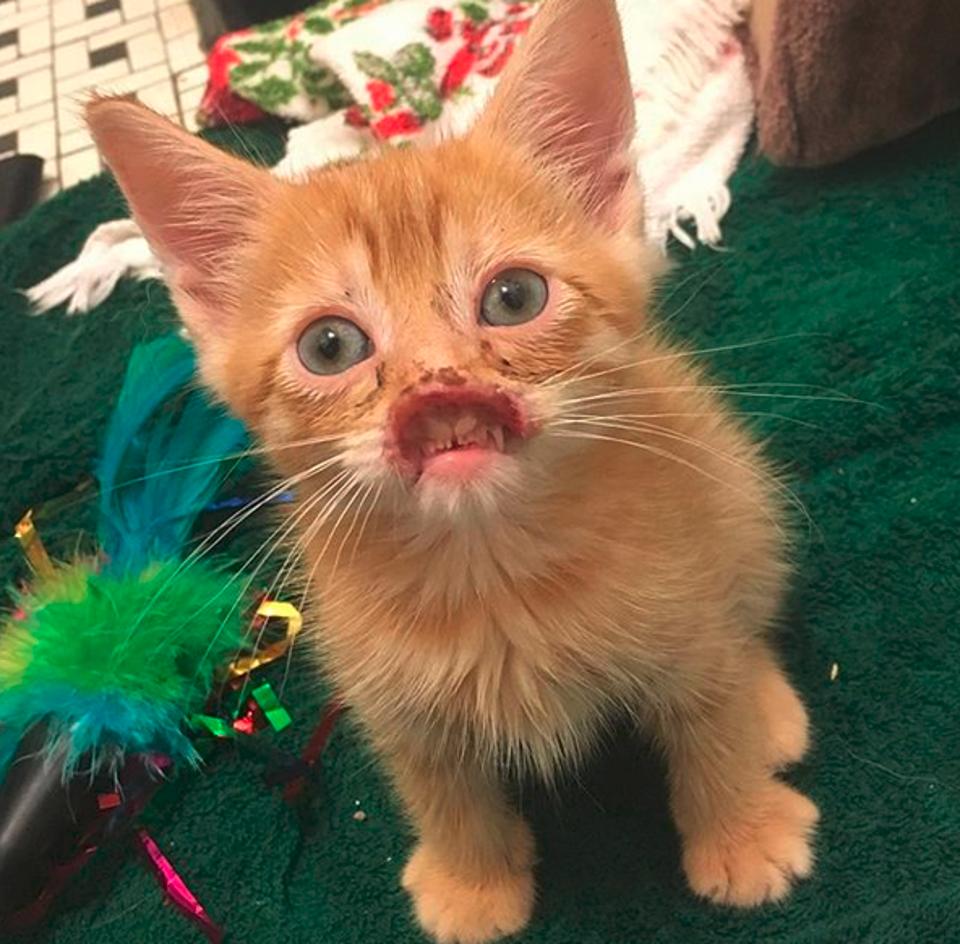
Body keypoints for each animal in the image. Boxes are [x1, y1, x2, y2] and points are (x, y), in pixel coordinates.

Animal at [86, 3, 816, 940]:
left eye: (513, 297)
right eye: (330, 346)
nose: (439, 393)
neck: (491, 575)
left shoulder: (689, 607)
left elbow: (710, 718)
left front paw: (743, 831)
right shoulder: (391, 699)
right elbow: (441, 790)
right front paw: (471, 883)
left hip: (733, 487)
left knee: (747, 611)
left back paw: (771, 711)